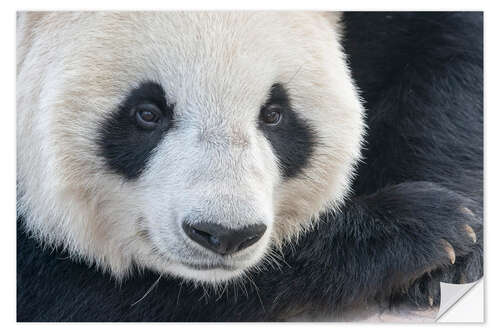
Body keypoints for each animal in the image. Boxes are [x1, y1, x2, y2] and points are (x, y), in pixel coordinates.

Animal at [17, 11, 482, 320]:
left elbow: (447, 54)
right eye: (147, 113)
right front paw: (415, 230)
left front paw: (454, 251)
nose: (226, 234)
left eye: (274, 114)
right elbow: (67, 292)